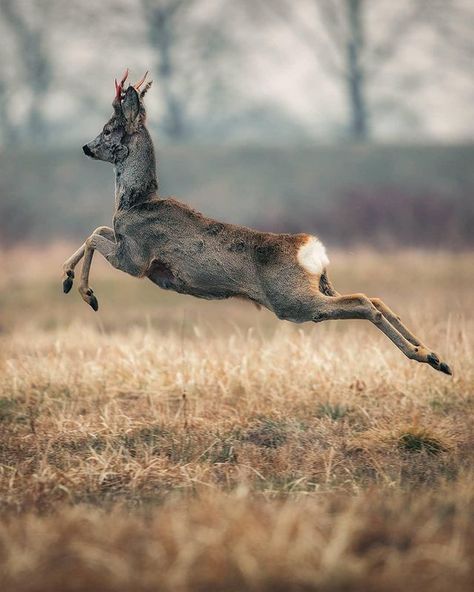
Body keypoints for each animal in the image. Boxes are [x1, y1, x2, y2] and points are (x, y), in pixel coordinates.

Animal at [63, 69, 452, 374]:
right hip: (318, 286)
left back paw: (424, 356)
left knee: (362, 302)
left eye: (108, 129)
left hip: (291, 298)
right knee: (375, 298)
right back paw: (435, 356)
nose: (85, 147)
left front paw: (83, 291)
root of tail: (311, 249)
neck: (136, 201)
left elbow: (94, 235)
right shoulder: (130, 249)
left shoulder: (138, 259)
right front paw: (70, 280)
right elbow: (98, 230)